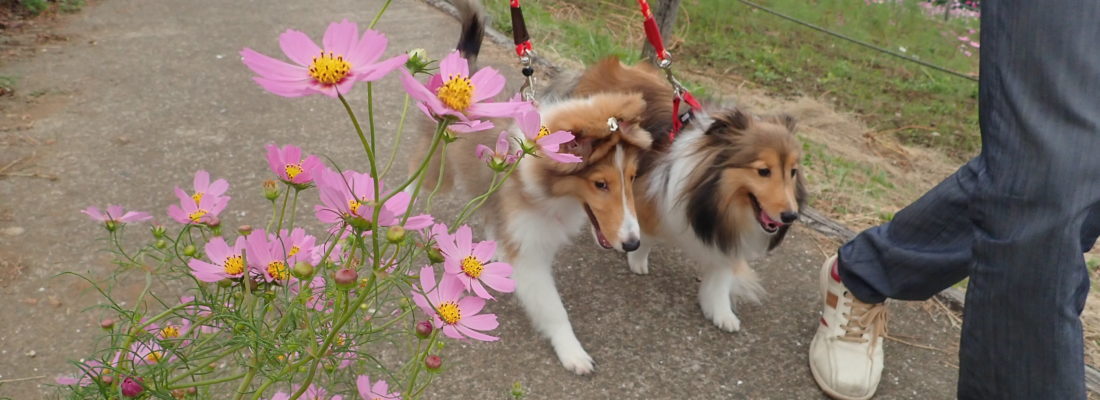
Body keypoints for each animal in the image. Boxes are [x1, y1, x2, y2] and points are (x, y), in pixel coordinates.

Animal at [413, 0, 651, 375]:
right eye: (600, 183)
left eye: (630, 178)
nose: (632, 244)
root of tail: (466, 68)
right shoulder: (531, 254)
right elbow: (553, 308)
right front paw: (573, 352)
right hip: (436, 163)